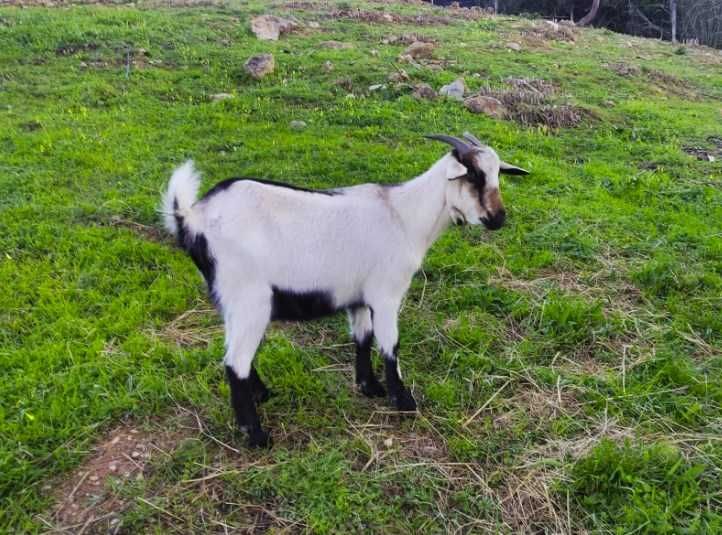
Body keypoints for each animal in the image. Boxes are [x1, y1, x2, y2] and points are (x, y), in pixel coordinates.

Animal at [161, 133, 528, 447]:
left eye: (498, 173)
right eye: (474, 176)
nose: (498, 218)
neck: (404, 216)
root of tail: (191, 217)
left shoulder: (359, 298)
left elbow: (362, 338)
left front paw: (369, 387)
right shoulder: (386, 293)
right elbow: (390, 345)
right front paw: (404, 402)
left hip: (232, 301)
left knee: (235, 354)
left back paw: (262, 396)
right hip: (249, 297)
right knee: (234, 362)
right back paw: (256, 436)